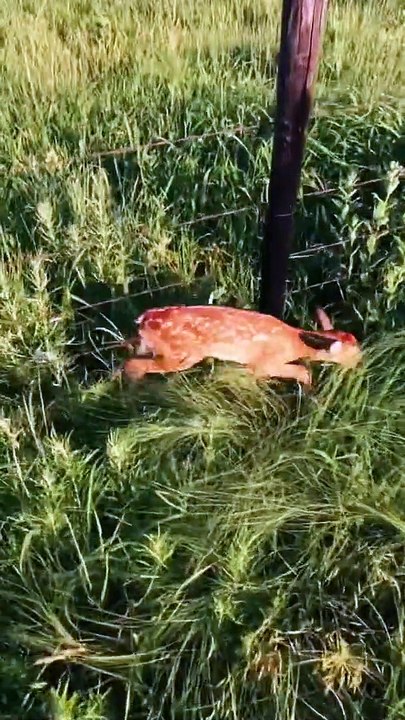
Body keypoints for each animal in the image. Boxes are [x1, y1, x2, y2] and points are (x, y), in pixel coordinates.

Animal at [116, 305, 362, 387]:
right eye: (352, 354)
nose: (359, 366)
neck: (295, 343)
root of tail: (143, 320)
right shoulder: (263, 364)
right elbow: (303, 371)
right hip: (180, 355)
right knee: (134, 366)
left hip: (152, 348)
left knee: (126, 362)